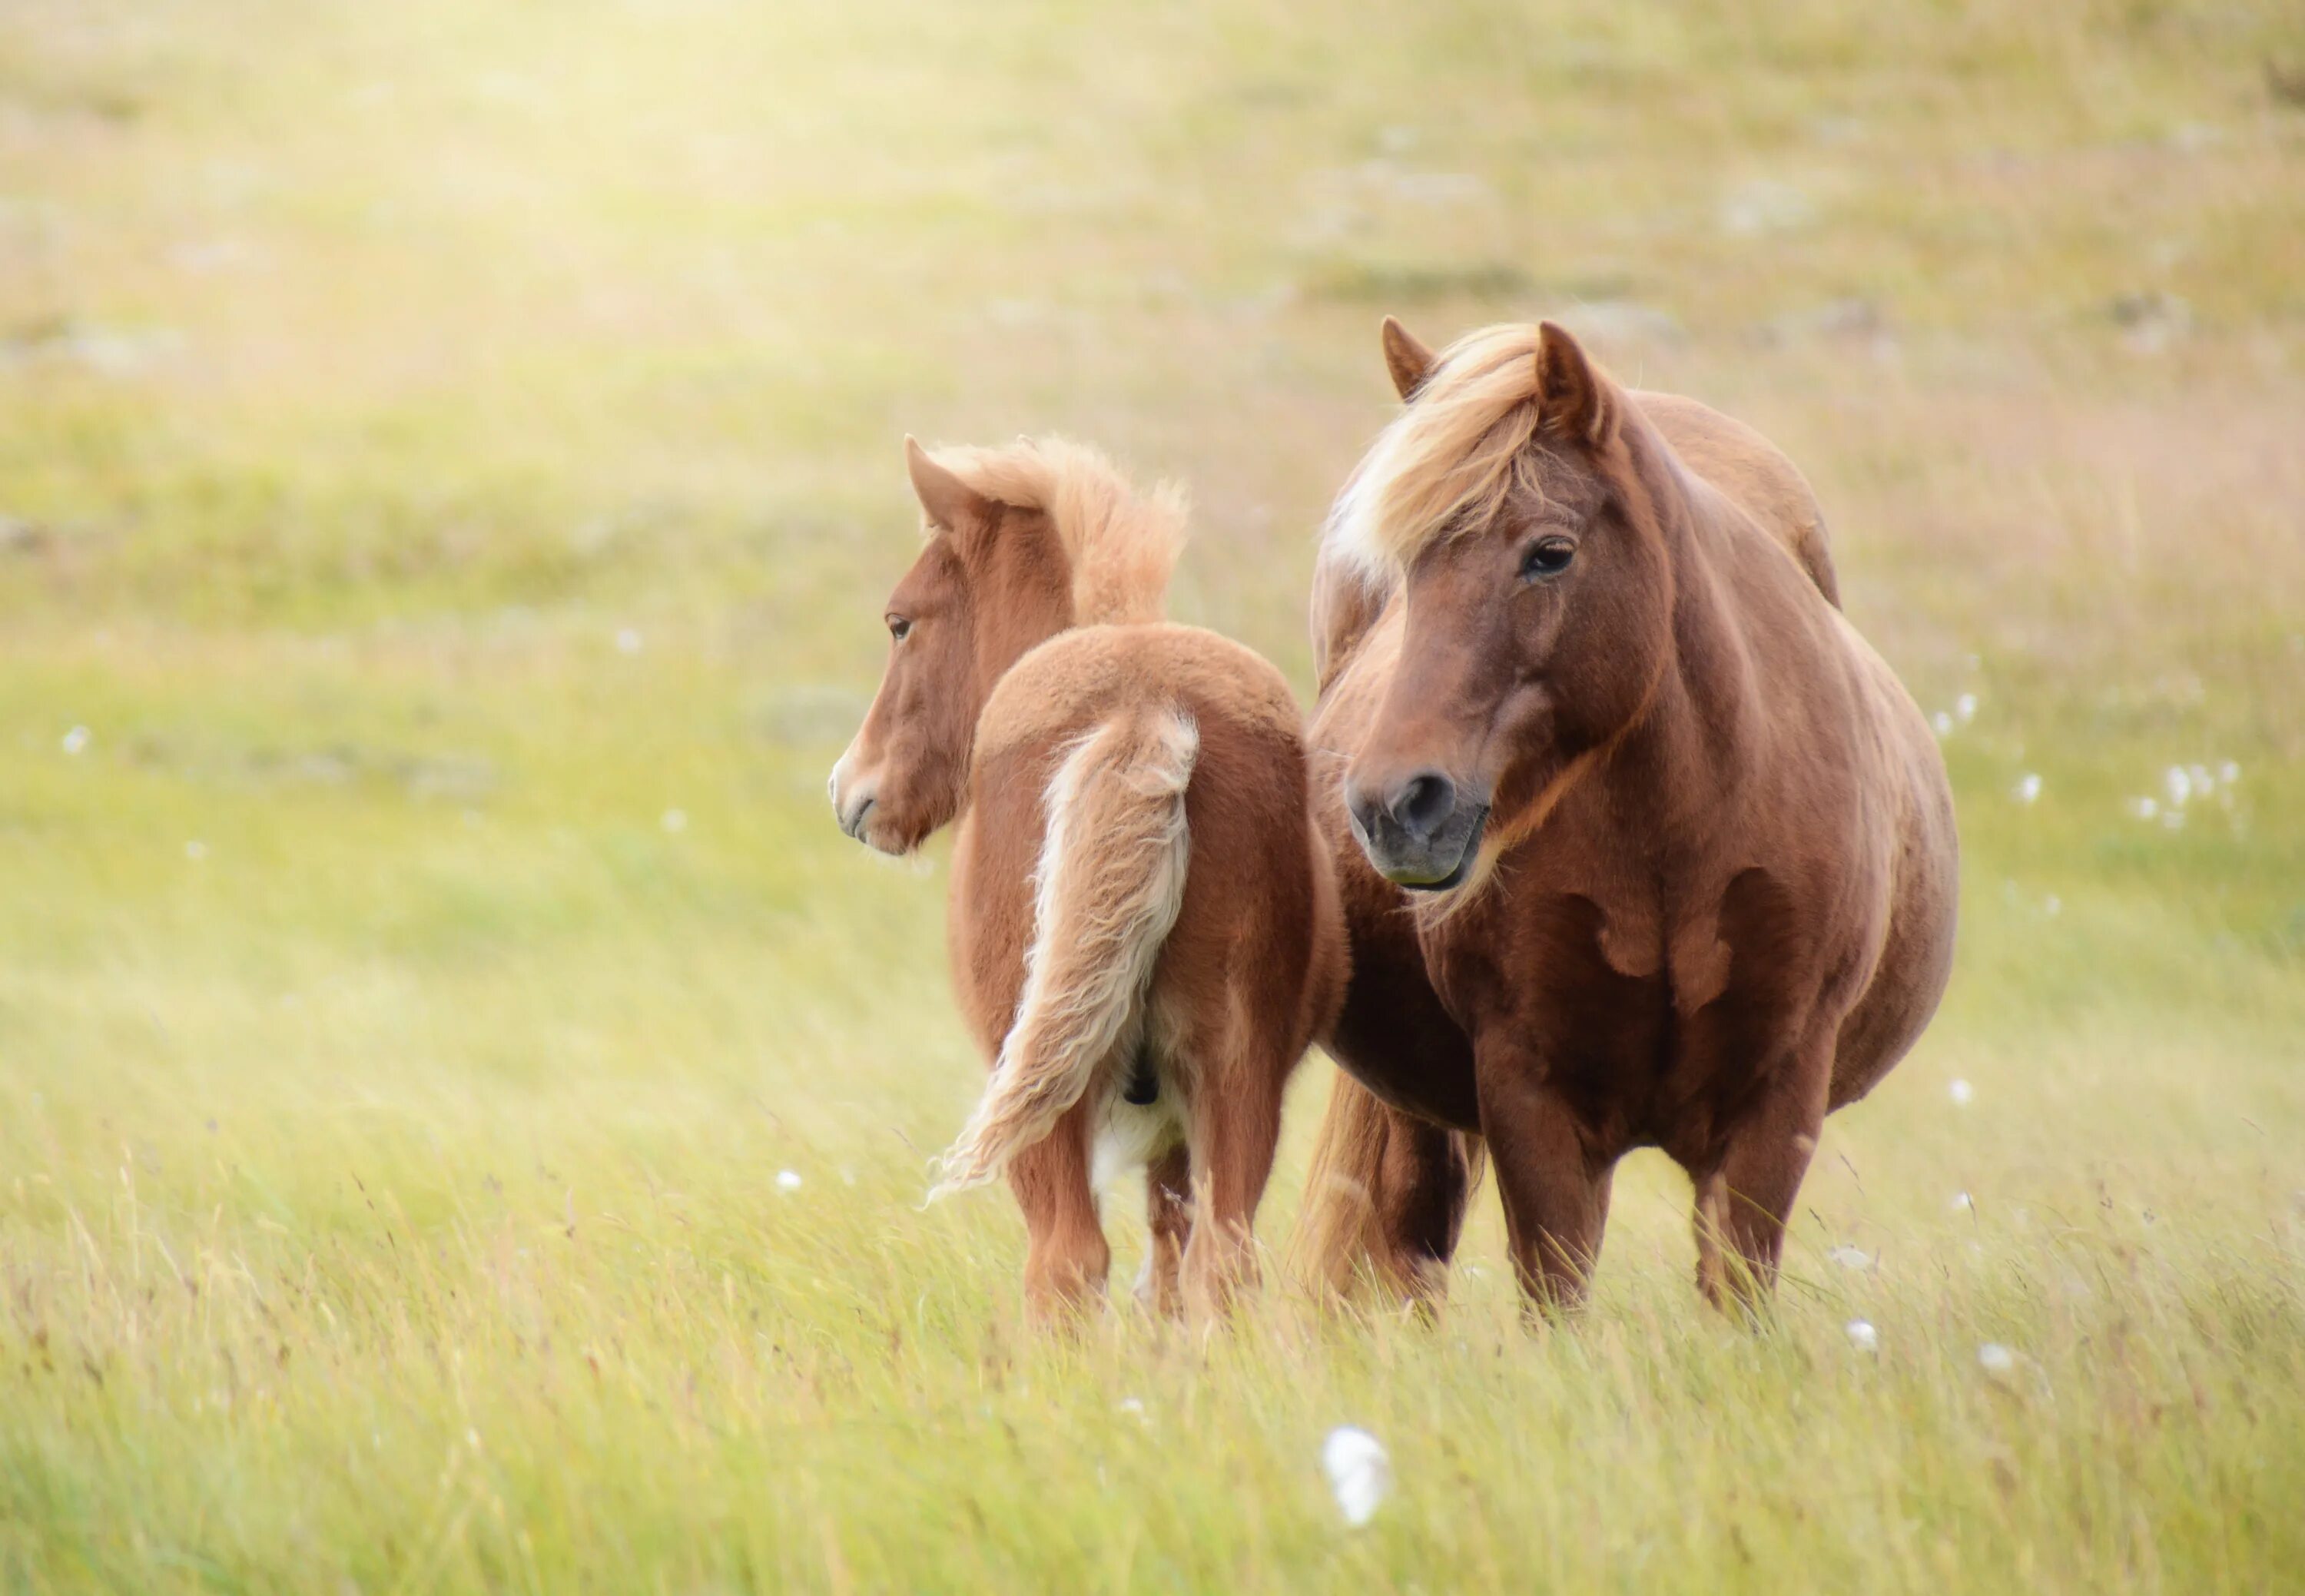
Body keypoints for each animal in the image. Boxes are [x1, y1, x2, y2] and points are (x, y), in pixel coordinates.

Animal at [830, 433, 1346, 1319]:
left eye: (901, 623)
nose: (852, 791)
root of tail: (1143, 706)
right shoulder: (1180, 1126)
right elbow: (1170, 1262)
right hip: (1235, 1072)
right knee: (1220, 1262)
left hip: (1044, 1101)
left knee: (1065, 1261)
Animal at [1291, 318, 1955, 1319]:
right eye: (1404, 568)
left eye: (1550, 552)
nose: (1393, 804)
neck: (1675, 833)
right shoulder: (1532, 1098)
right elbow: (1553, 1296)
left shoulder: (1776, 1101)